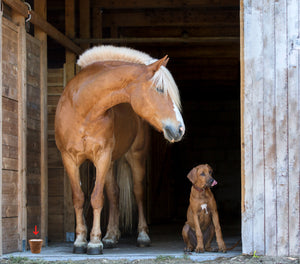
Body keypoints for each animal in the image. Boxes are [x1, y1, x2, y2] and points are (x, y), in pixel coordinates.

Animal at [54, 45, 185, 254]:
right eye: (159, 89)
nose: (180, 129)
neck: (82, 109)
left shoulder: (102, 156)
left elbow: (96, 198)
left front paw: (94, 242)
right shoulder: (69, 159)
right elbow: (79, 198)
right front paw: (80, 241)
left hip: (134, 156)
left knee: (138, 192)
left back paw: (142, 236)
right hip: (111, 162)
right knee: (114, 193)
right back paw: (110, 236)